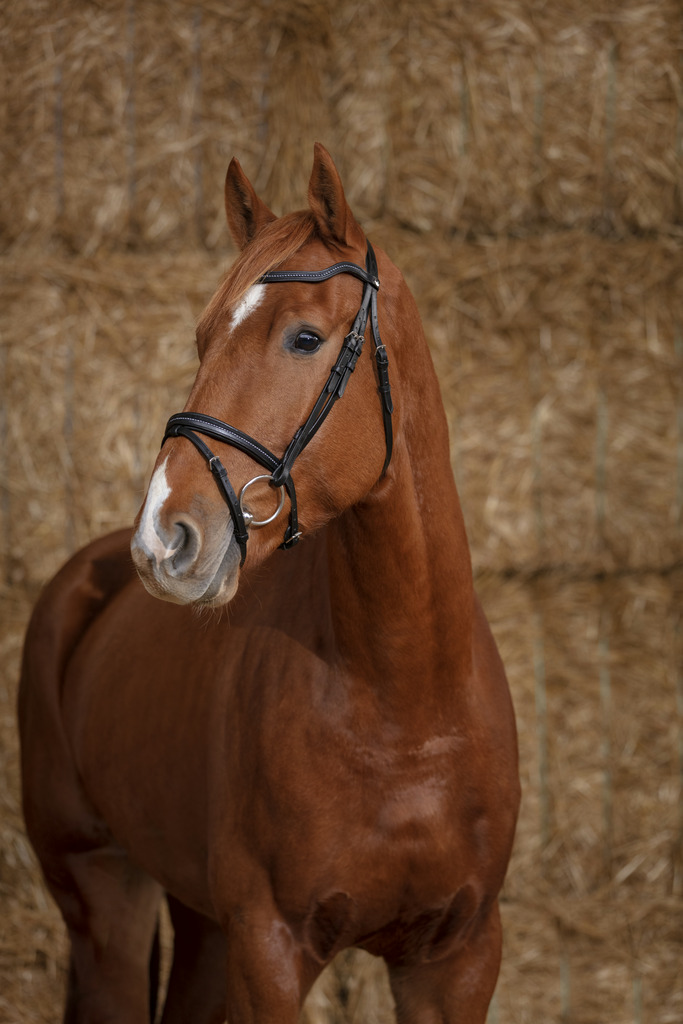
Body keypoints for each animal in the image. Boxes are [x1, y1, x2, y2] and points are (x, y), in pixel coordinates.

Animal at [19, 144, 520, 1024]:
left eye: (304, 337)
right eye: (201, 340)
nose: (165, 538)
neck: (403, 707)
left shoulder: (456, 957)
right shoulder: (271, 948)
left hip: (201, 921)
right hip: (102, 892)